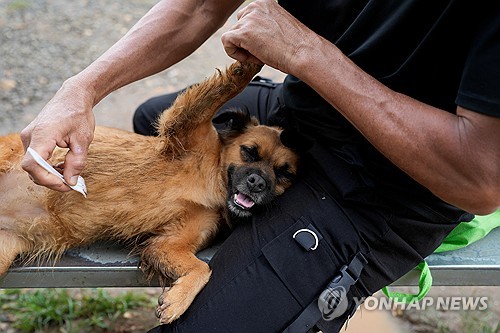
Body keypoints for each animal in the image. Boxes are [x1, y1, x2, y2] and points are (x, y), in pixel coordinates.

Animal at [0, 61, 296, 322]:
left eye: (284, 174)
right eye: (249, 152)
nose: (257, 183)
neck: (215, 178)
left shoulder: (169, 242)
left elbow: (203, 268)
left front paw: (177, 300)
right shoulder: (186, 124)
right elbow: (228, 84)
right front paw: (251, 60)